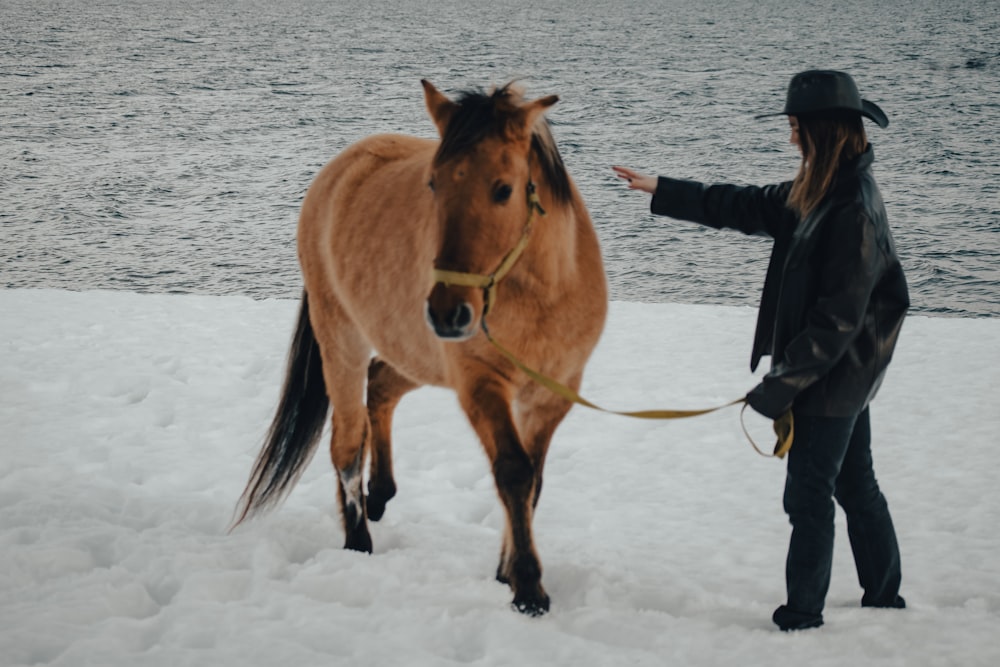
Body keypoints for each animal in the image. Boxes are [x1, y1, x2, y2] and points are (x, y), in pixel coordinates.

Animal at [234, 79, 604, 616]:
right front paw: (528, 588)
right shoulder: (479, 384)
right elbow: (513, 472)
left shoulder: (551, 394)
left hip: (414, 354)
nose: (448, 311)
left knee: (381, 387)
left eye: (504, 189)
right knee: (347, 442)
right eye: (433, 184)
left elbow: (532, 480)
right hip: (341, 340)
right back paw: (358, 541)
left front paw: (507, 570)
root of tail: (338, 170)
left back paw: (380, 493)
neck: (540, 293)